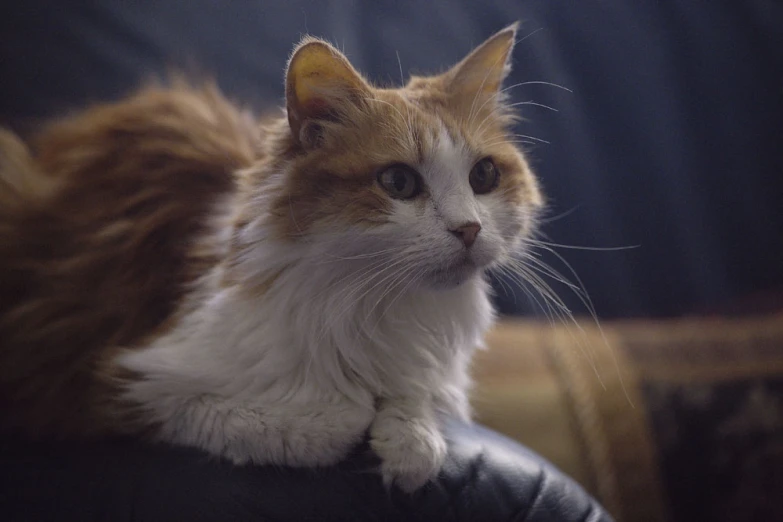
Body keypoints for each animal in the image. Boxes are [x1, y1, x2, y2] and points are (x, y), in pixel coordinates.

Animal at [0, 23, 544, 488]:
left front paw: (407, 443)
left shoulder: (431, 372)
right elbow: (320, 424)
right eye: (398, 182)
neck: (379, 308)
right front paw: (356, 415)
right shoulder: (122, 382)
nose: (469, 229)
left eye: (483, 176)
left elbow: (420, 411)